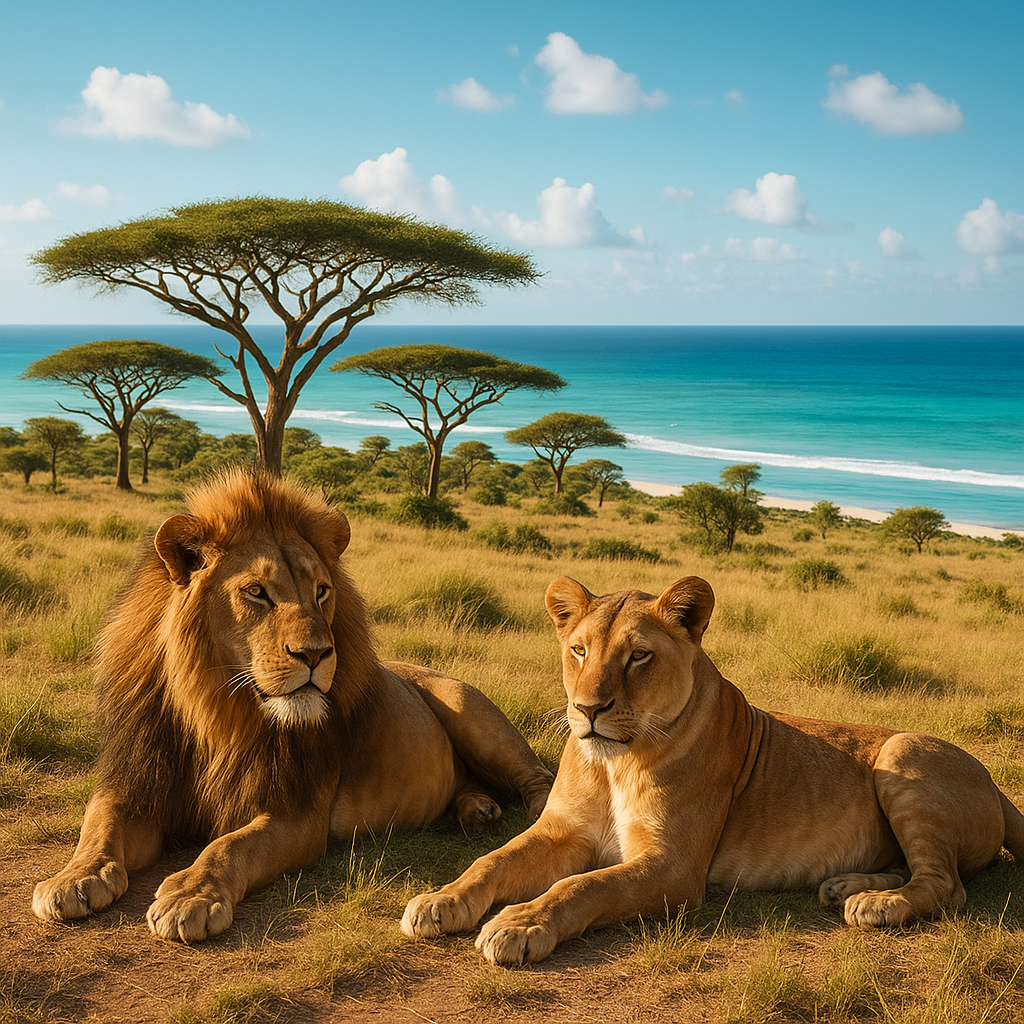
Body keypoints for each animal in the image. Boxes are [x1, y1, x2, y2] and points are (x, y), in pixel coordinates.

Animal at [33, 470, 552, 942]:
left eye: (321, 591)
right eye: (257, 592)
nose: (317, 654)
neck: (217, 713)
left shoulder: (297, 813)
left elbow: (229, 846)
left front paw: (190, 896)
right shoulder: (138, 782)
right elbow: (99, 822)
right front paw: (74, 877)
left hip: (471, 711)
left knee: (539, 777)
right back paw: (476, 809)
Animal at [402, 575, 1024, 965]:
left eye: (638, 656)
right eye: (578, 650)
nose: (588, 709)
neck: (616, 763)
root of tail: (995, 782)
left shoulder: (672, 867)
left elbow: (581, 887)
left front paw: (519, 924)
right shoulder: (564, 830)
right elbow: (491, 860)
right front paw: (439, 901)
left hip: (903, 751)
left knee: (947, 886)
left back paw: (876, 905)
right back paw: (845, 885)